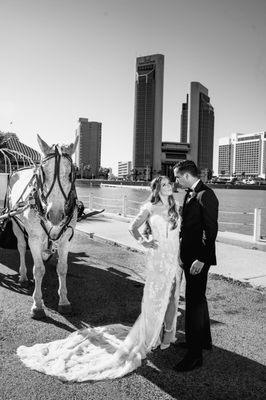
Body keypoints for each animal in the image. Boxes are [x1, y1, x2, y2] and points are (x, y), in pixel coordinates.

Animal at [8, 134, 78, 318]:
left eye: (71, 173)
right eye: (42, 172)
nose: (55, 215)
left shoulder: (66, 238)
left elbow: (62, 268)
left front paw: (64, 301)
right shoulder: (34, 237)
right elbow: (38, 269)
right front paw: (37, 304)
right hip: (16, 223)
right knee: (21, 246)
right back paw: (23, 275)